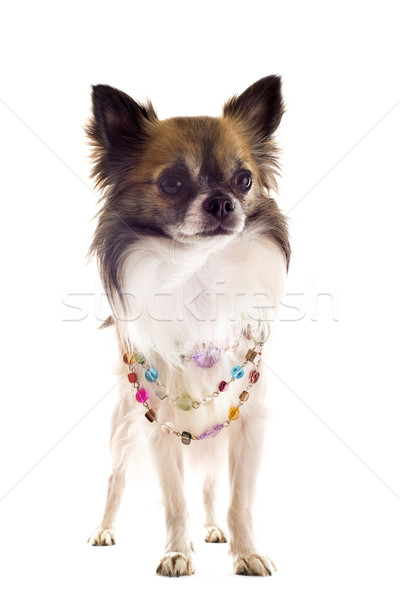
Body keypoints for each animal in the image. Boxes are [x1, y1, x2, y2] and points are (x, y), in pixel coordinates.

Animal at [86, 76, 290, 576]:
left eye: (244, 179)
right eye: (173, 182)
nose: (222, 201)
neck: (198, 272)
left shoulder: (247, 423)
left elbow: (238, 499)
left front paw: (246, 551)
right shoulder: (159, 427)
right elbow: (175, 498)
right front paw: (177, 552)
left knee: (212, 484)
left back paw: (214, 529)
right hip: (124, 427)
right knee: (115, 480)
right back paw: (104, 529)